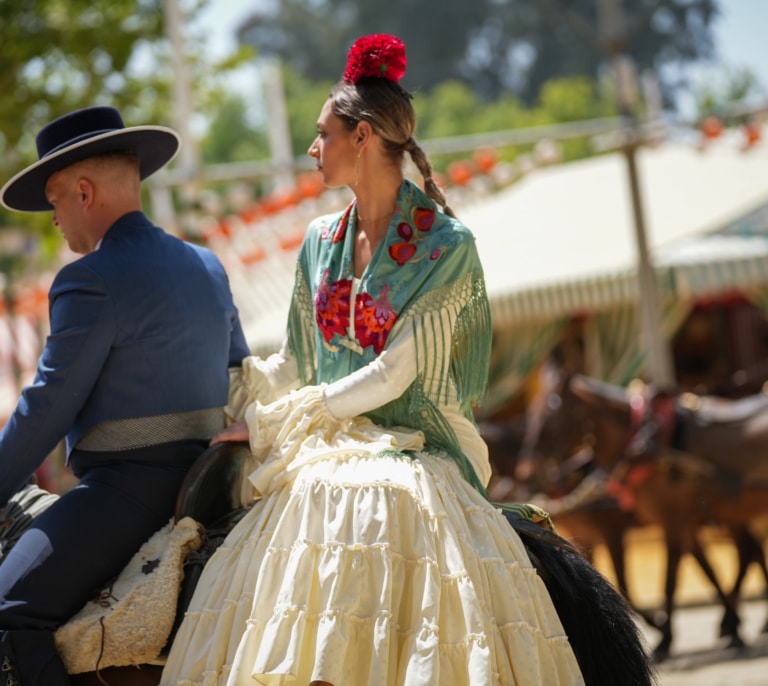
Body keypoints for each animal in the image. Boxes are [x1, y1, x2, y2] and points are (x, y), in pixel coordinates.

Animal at [520, 370, 768, 660]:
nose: (526, 470)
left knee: (749, 552)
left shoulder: (663, 522)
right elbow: (704, 569)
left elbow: (668, 579)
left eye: (552, 407)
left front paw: (666, 637)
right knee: (750, 552)